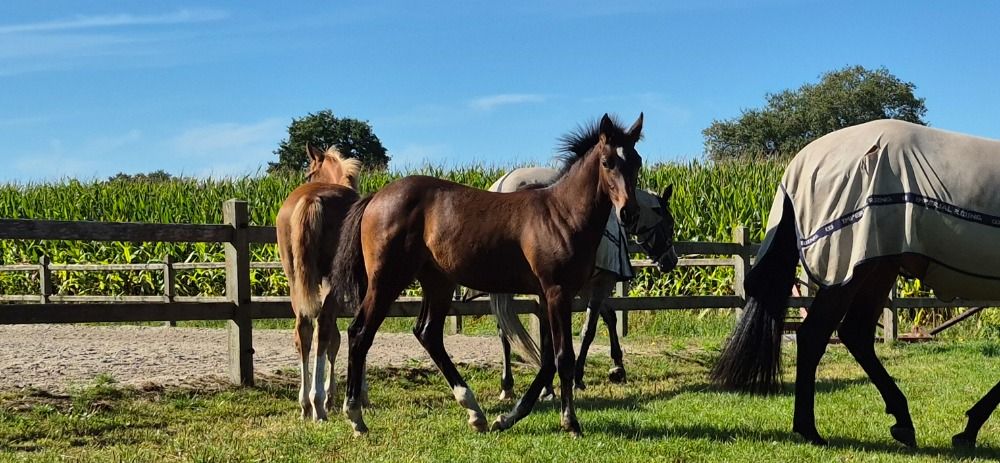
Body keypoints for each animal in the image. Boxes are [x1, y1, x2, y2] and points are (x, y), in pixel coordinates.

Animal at [275, 144, 363, 421]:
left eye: (308, 173)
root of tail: (311, 199)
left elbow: (336, 337)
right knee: (322, 329)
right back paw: (318, 404)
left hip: (295, 279)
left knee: (303, 329)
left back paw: (307, 404)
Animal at [331, 113, 645, 437]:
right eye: (607, 162)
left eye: (637, 161)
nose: (629, 213)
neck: (562, 214)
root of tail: (375, 197)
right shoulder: (558, 291)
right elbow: (563, 357)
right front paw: (570, 422)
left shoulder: (548, 295)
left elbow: (547, 361)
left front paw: (507, 418)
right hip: (387, 280)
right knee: (360, 333)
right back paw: (356, 417)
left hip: (438, 281)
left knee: (427, 333)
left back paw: (475, 412)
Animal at [484, 166, 677, 399]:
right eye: (670, 224)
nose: (671, 261)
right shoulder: (602, 281)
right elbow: (589, 329)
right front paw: (580, 377)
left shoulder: (585, 286)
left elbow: (609, 317)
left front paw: (617, 366)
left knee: (505, 331)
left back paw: (510, 385)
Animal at [711, 119, 1000, 449]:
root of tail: (800, 162)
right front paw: (969, 430)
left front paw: (969, 429)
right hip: (849, 270)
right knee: (815, 335)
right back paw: (811, 430)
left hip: (877, 268)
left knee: (855, 334)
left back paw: (901, 422)